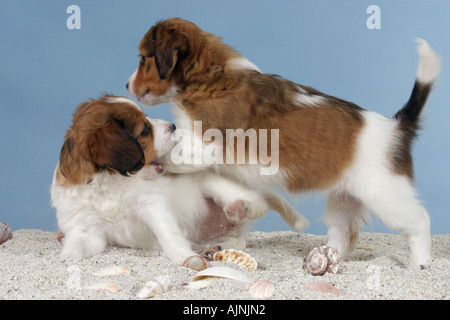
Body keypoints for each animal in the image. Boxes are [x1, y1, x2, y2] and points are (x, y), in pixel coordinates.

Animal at [51, 95, 306, 268]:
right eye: (144, 130)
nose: (172, 126)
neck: (109, 188)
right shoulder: (86, 230)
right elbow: (73, 249)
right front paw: (63, 259)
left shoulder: (152, 206)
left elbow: (169, 236)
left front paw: (186, 258)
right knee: (239, 238)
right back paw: (218, 245)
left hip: (212, 181)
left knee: (255, 205)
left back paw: (238, 210)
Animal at [125, 18, 440, 270]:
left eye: (143, 59)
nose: (127, 85)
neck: (210, 78)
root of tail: (398, 126)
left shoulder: (205, 144)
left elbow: (173, 151)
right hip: (345, 199)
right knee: (345, 234)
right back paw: (327, 257)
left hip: (386, 195)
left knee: (419, 221)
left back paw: (420, 264)